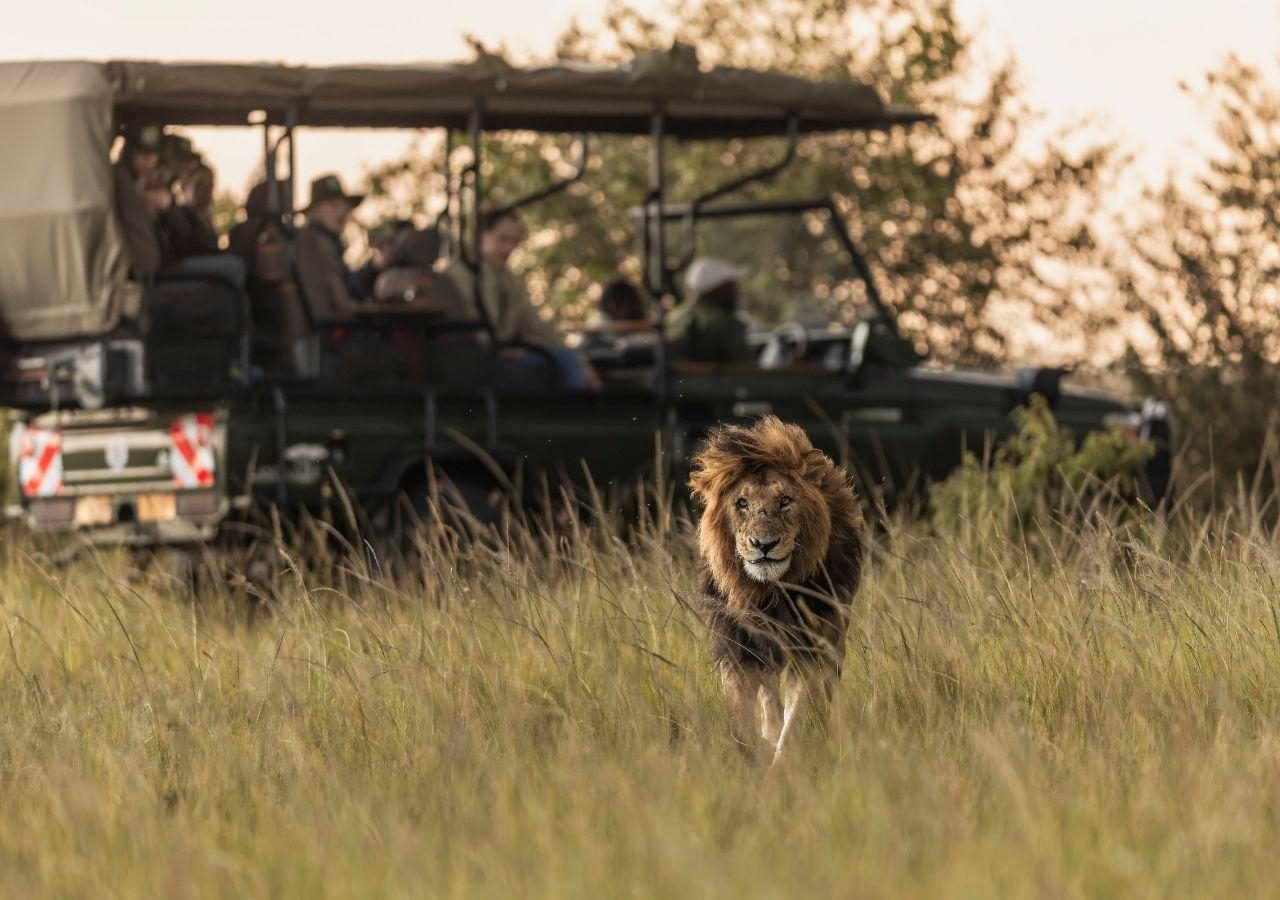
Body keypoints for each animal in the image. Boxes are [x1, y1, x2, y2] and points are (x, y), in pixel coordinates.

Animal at [688, 415, 864, 763]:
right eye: (742, 503)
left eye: (785, 501)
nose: (764, 545)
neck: (767, 593)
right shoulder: (737, 648)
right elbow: (742, 714)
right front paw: (749, 757)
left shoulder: (811, 650)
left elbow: (794, 722)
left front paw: (781, 766)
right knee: (768, 696)